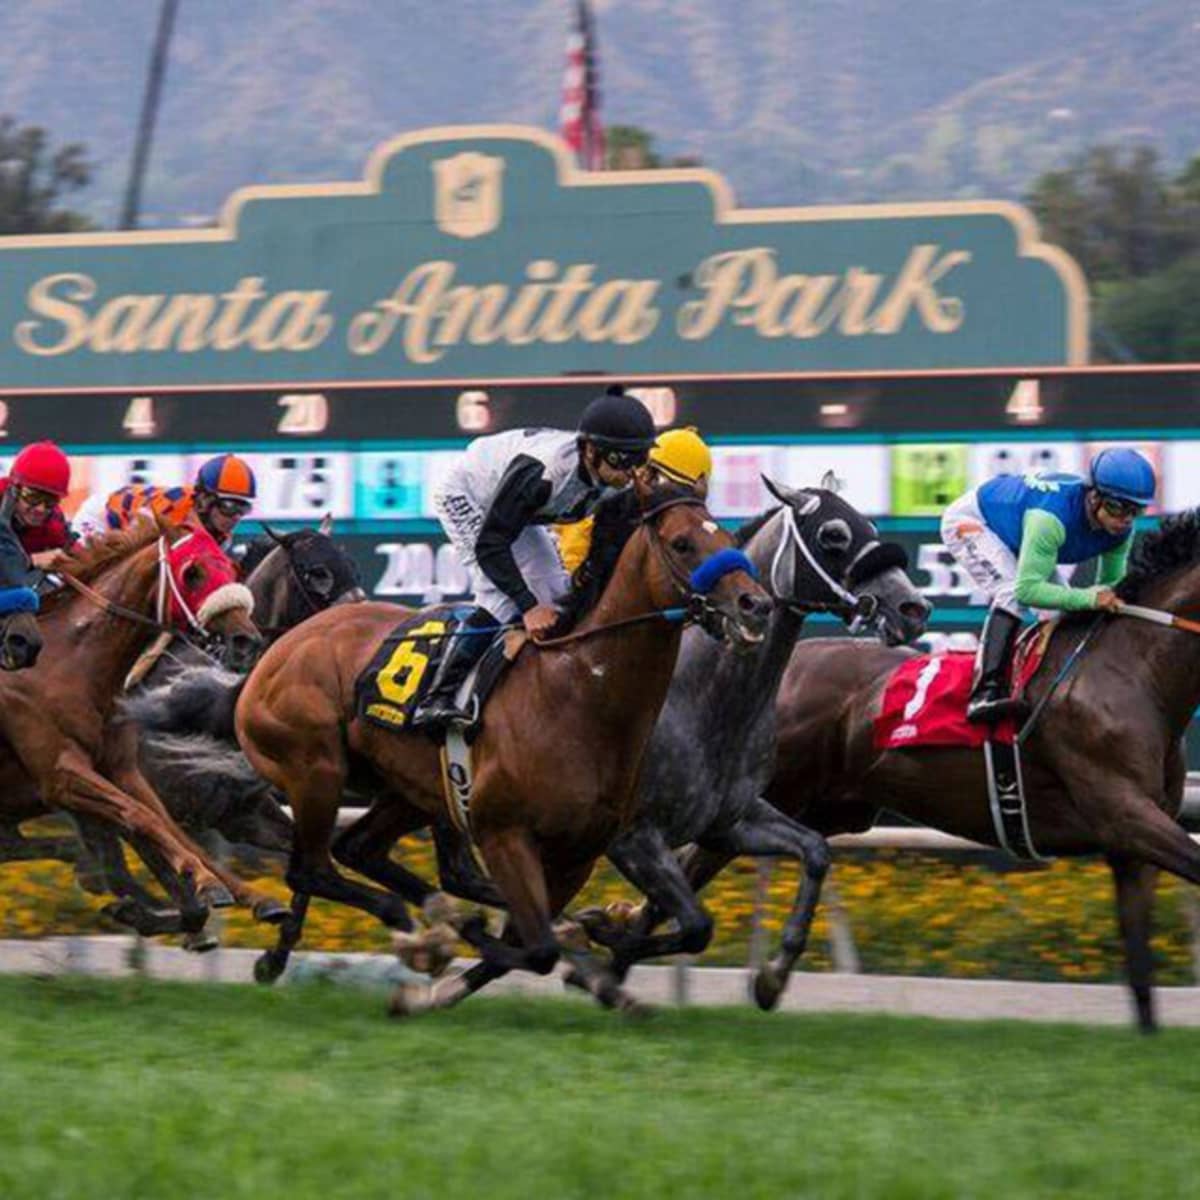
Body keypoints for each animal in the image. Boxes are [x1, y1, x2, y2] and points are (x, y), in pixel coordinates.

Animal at [0, 518, 290, 936]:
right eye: (193, 573)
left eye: (230, 568)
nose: (245, 640)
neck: (68, 665)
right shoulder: (61, 774)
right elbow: (140, 817)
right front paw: (202, 885)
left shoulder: (123, 770)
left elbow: (165, 824)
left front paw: (244, 894)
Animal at [231, 480, 777, 1012]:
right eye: (682, 543)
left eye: (727, 538)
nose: (756, 605)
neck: (578, 691)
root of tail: (281, 645)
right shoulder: (506, 834)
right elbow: (537, 949)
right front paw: (437, 979)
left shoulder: (580, 851)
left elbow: (689, 927)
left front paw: (603, 951)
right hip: (315, 770)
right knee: (310, 869)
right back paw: (416, 934)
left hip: (410, 791)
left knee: (358, 849)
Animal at [576, 475, 931, 1003]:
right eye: (833, 535)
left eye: (870, 525)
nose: (914, 607)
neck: (705, 703)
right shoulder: (631, 835)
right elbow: (688, 924)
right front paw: (599, 941)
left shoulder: (729, 820)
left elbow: (814, 852)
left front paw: (772, 974)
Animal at [686, 506, 1200, 1032]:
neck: (1132, 672)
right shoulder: (1126, 816)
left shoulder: (1131, 846)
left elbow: (1140, 968)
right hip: (760, 797)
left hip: (828, 808)